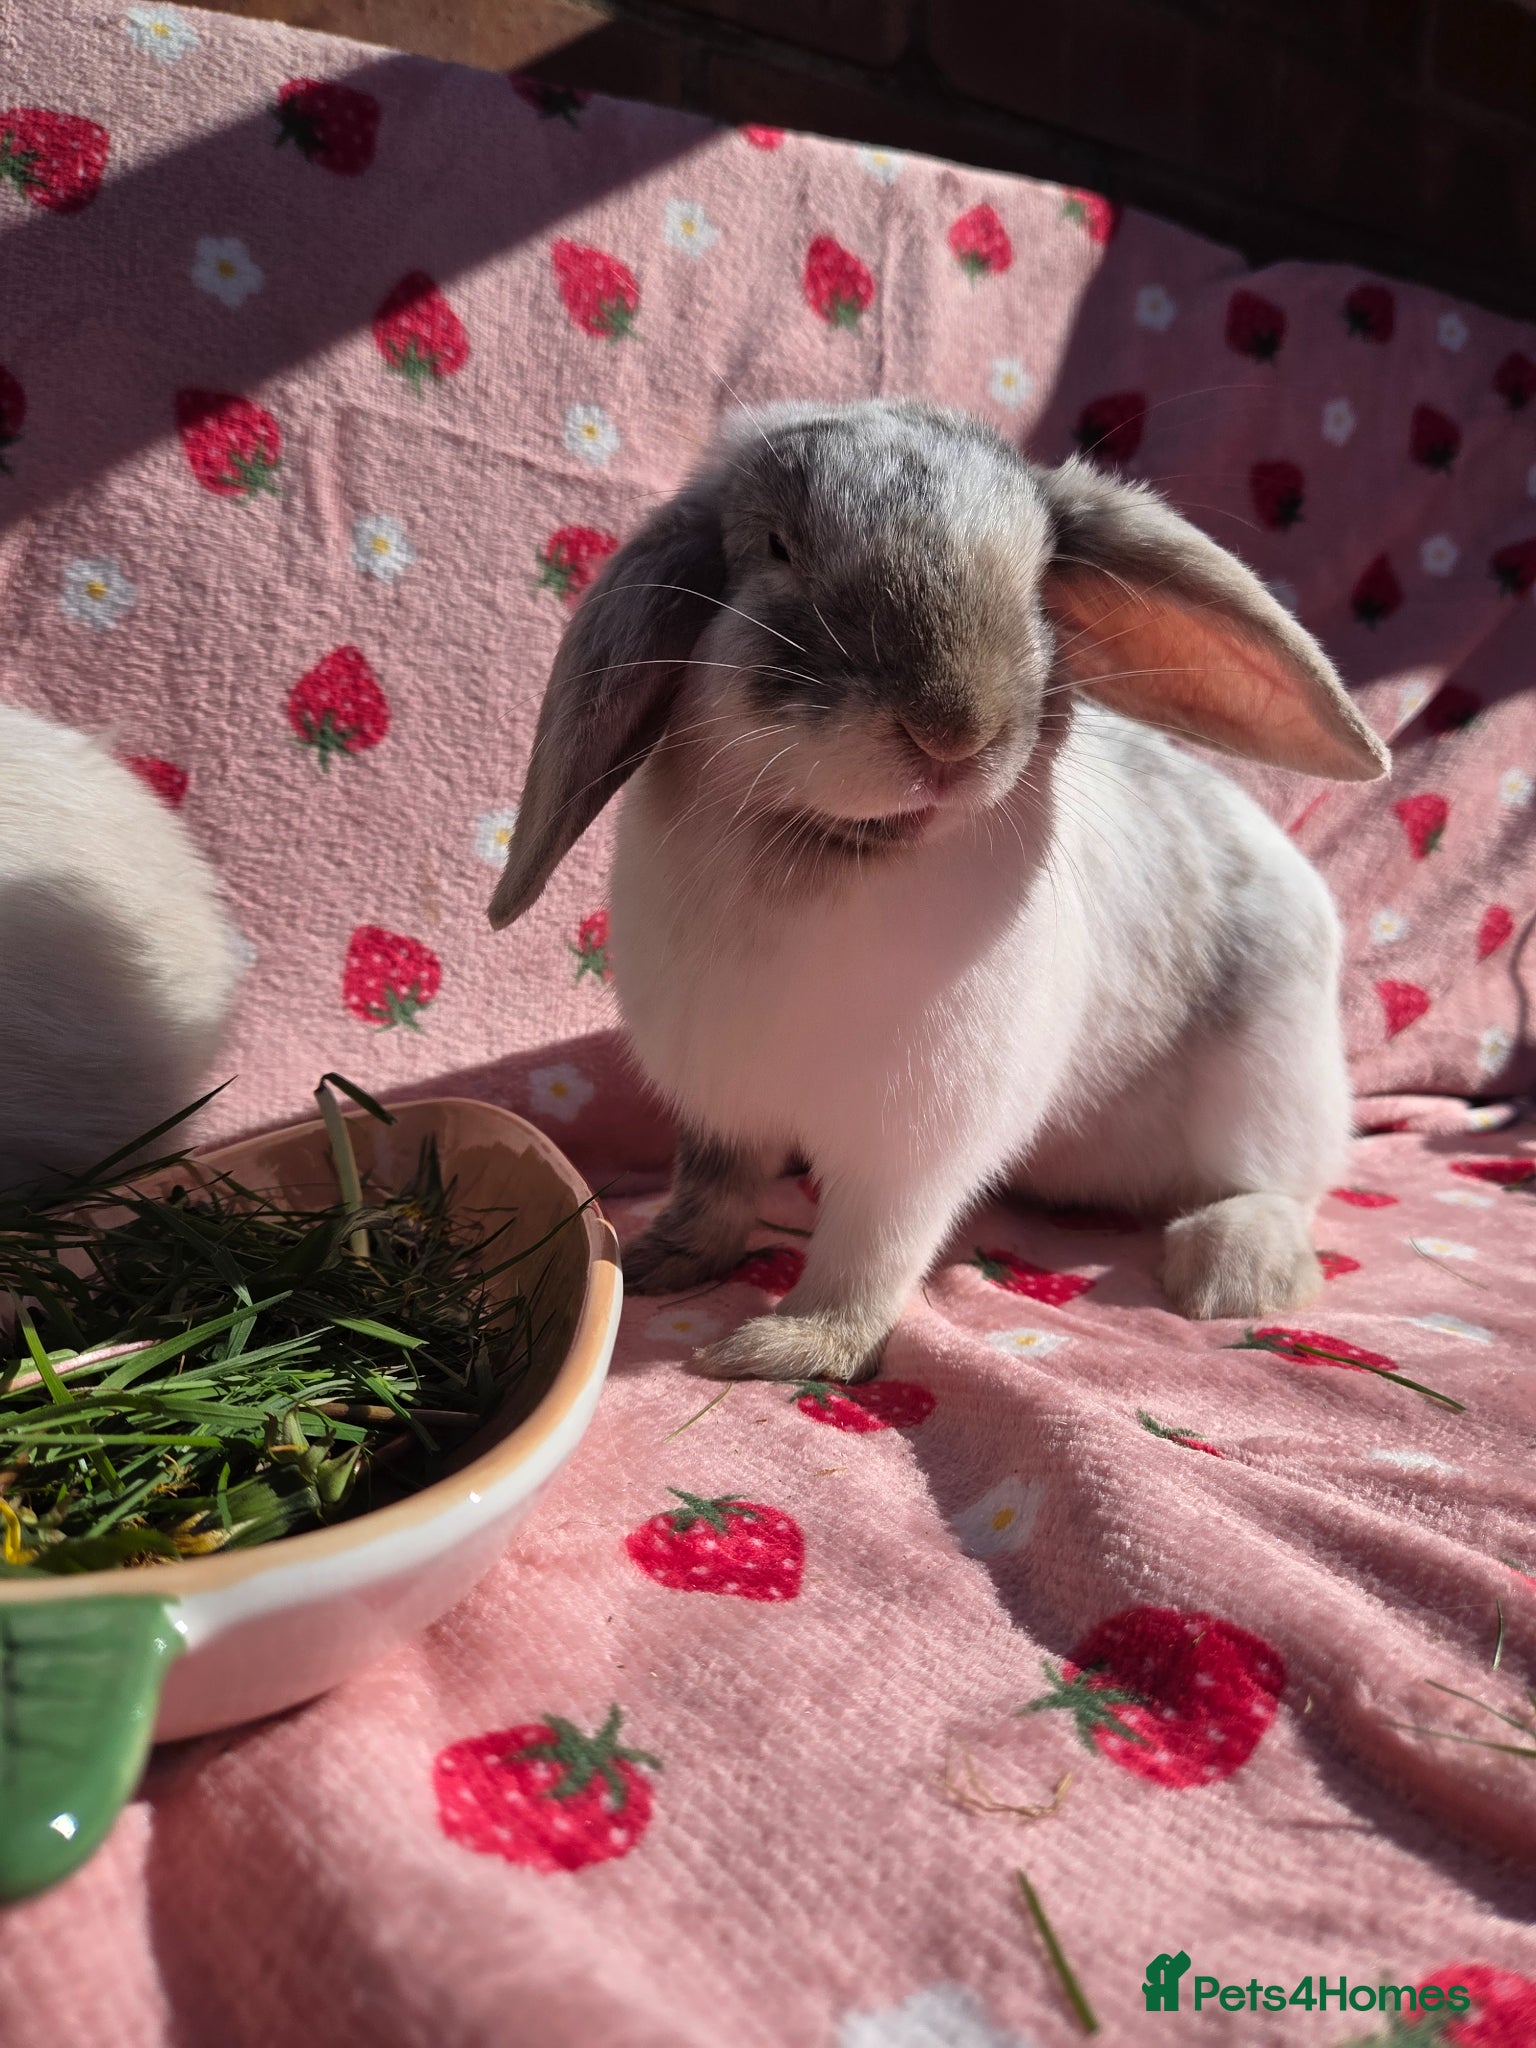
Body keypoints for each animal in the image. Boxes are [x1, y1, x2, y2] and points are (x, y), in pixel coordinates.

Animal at [489, 398, 1389, 1384]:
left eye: (1038, 579)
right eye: (777, 546)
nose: (954, 731)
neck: (839, 853)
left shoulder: (909, 1153)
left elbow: (869, 1252)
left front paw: (787, 1347)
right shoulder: (723, 1104)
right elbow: (716, 1189)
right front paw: (662, 1262)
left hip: (1270, 1082)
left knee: (1283, 1186)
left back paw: (1228, 1275)